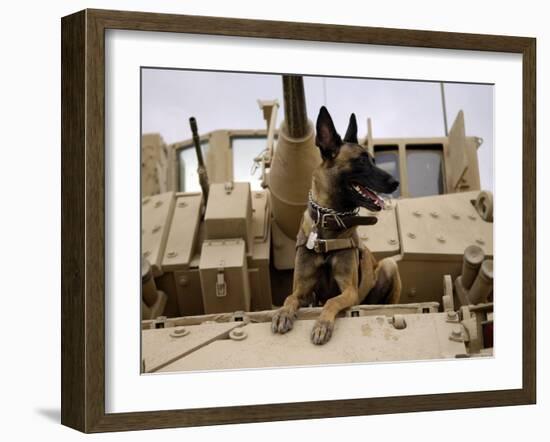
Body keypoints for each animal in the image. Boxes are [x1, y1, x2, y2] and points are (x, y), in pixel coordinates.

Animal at [274, 106, 404, 346]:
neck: (329, 222)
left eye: (373, 160)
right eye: (361, 161)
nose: (395, 182)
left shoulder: (349, 290)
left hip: (389, 265)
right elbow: (289, 298)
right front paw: (283, 314)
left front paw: (322, 325)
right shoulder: (302, 291)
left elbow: (331, 301)